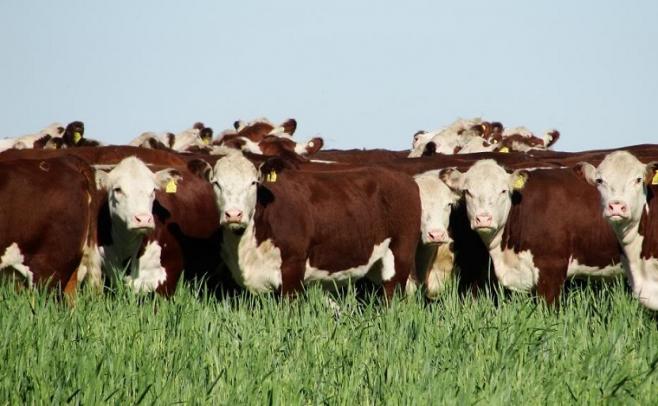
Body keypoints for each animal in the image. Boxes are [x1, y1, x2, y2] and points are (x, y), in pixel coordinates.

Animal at [187, 152, 418, 298]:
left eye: (253, 182)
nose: (234, 214)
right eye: (216, 183)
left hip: (400, 255)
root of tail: (404, 178)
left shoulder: (292, 268)